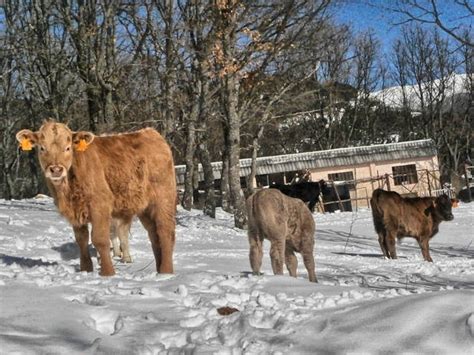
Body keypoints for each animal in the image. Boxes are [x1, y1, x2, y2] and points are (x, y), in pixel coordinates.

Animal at [16, 121, 177, 276]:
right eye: (42, 148)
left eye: (67, 148)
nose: (56, 169)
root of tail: (151, 132)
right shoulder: (75, 211)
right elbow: (81, 239)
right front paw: (86, 269)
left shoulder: (100, 205)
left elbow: (100, 239)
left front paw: (108, 273)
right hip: (144, 207)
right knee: (154, 235)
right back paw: (159, 269)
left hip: (164, 198)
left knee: (165, 231)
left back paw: (166, 272)